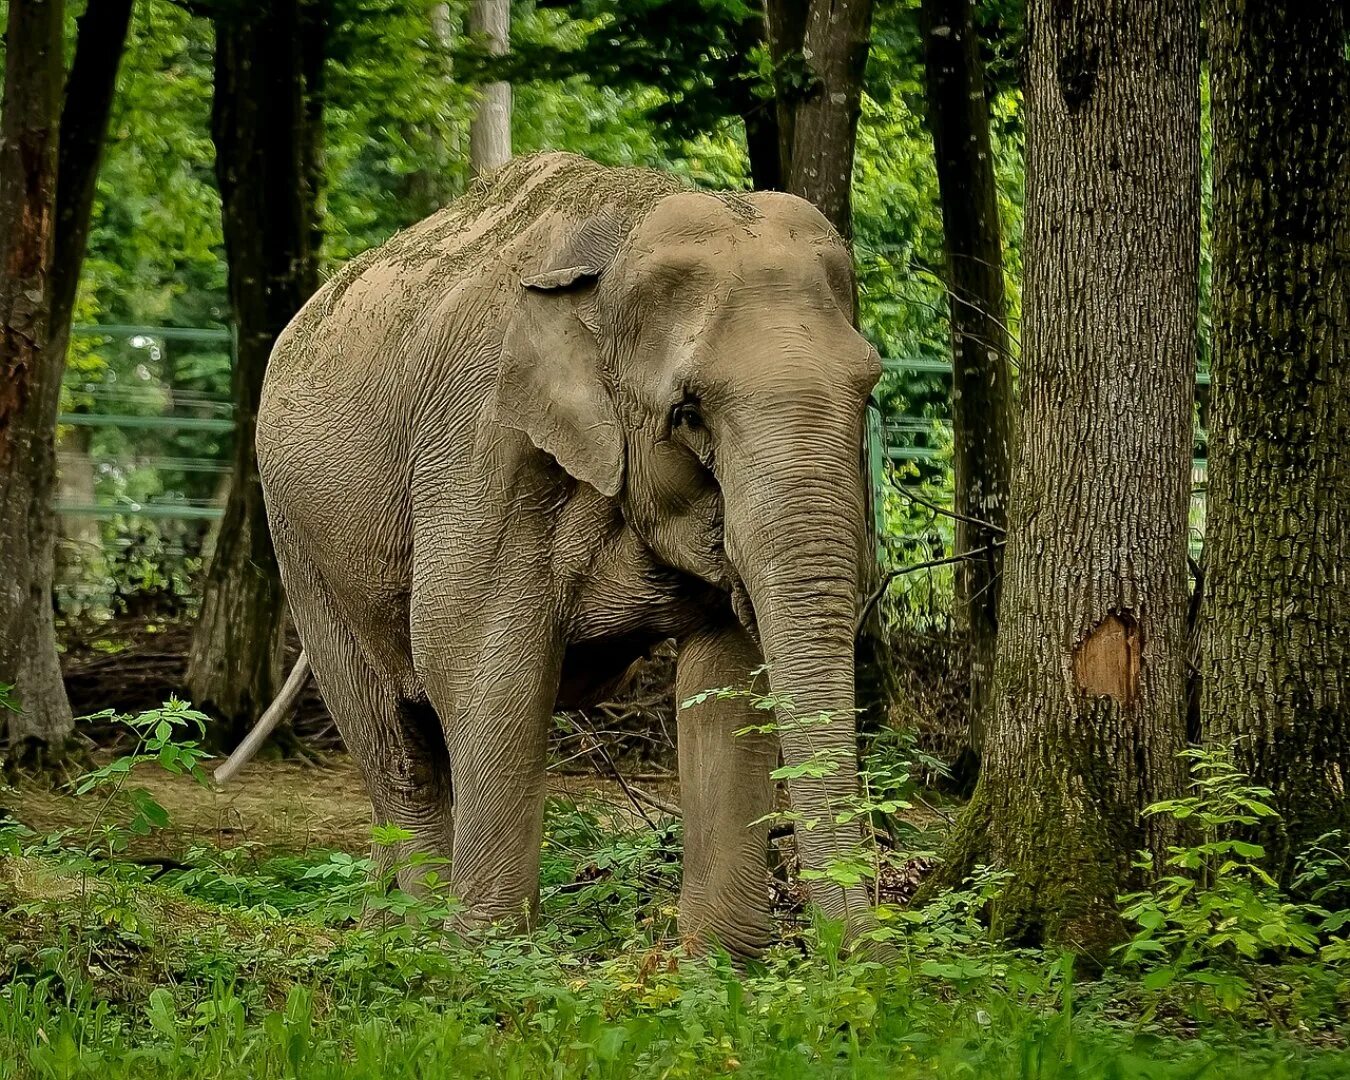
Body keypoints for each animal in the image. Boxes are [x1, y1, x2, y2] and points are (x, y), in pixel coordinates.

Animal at [229, 151, 885, 955]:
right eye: (688, 412)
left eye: (868, 390)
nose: (868, 955)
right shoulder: (482, 439)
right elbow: (478, 662)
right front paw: (488, 956)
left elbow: (728, 673)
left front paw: (717, 964)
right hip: (300, 539)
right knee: (394, 739)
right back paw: (411, 940)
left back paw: (387, 928)